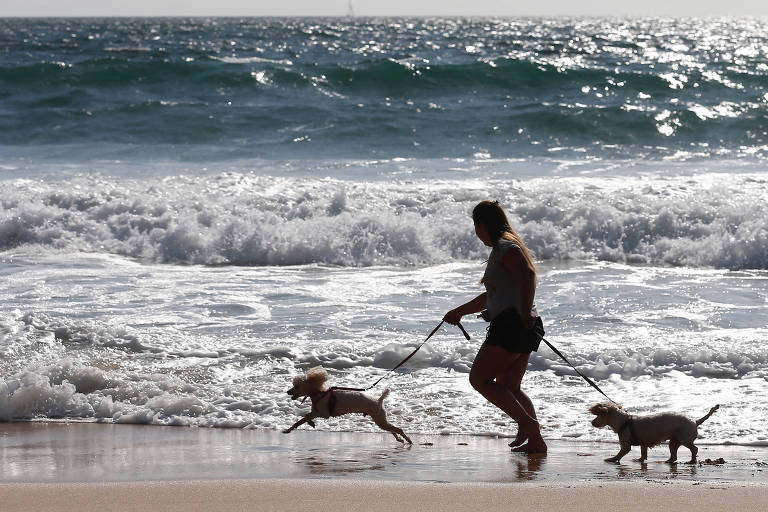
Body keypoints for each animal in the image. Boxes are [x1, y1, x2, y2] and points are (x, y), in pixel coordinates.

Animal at [284, 364, 414, 444]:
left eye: (297, 386)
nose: (288, 391)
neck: (319, 393)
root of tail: (379, 400)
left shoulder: (324, 413)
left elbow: (306, 416)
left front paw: (311, 423)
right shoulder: (316, 411)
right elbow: (301, 420)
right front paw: (289, 430)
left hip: (379, 418)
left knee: (398, 429)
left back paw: (408, 440)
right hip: (380, 419)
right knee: (392, 429)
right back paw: (400, 439)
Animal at [588, 404, 720, 464]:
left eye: (598, 416)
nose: (591, 422)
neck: (624, 421)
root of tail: (695, 421)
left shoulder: (626, 445)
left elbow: (620, 453)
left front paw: (612, 459)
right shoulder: (643, 443)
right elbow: (643, 453)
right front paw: (640, 459)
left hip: (684, 439)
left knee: (694, 449)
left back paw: (692, 460)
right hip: (674, 441)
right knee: (674, 455)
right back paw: (668, 461)